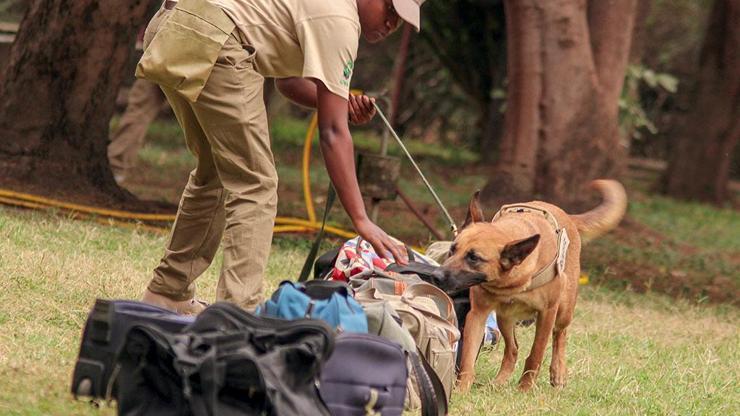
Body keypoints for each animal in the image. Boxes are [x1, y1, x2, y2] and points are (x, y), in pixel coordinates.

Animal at [442, 180, 628, 392]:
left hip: (563, 310)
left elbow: (536, 354)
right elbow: (467, 359)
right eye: (452, 249)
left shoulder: (547, 313)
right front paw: (461, 390)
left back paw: (558, 372)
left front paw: (524, 388)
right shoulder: (478, 314)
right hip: (505, 317)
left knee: (560, 335)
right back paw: (498, 382)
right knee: (512, 350)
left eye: (474, 258)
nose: (436, 275)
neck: (512, 281)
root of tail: (569, 217)